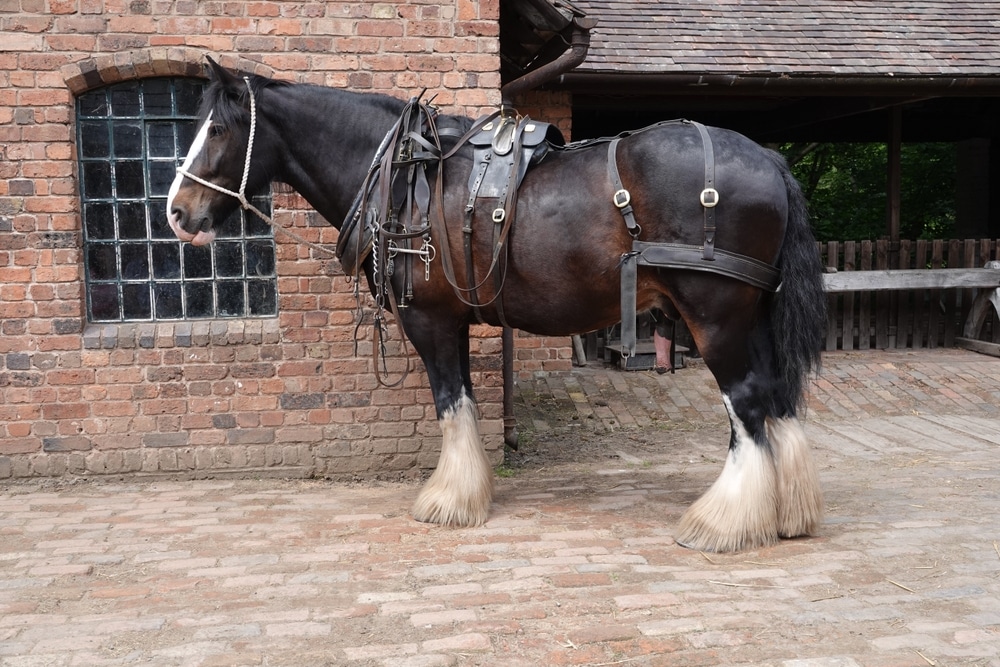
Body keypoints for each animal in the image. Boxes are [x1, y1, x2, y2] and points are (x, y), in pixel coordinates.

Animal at [170, 60, 828, 556]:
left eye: (219, 129)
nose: (177, 213)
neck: (403, 177)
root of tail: (769, 161)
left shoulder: (430, 319)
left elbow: (451, 401)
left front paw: (450, 500)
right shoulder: (453, 319)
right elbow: (459, 399)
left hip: (714, 315)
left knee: (747, 404)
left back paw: (723, 521)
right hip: (752, 315)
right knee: (777, 398)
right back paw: (788, 513)